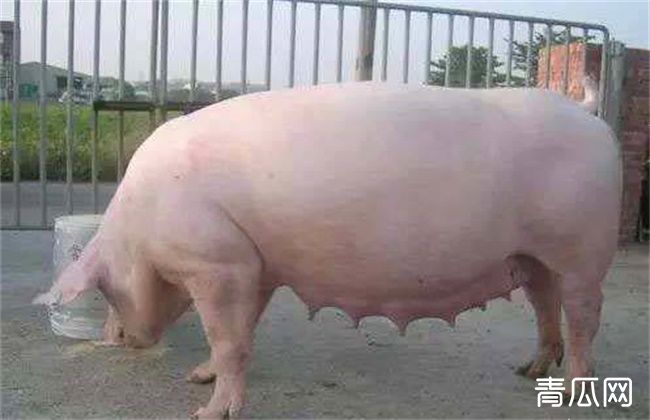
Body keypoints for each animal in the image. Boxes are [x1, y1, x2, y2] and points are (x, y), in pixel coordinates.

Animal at [35, 81, 621, 418]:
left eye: (106, 289)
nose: (119, 340)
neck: (141, 220)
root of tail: (588, 115)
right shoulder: (255, 265)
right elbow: (241, 333)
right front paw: (197, 376)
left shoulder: (220, 263)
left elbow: (228, 339)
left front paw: (207, 413)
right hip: (534, 255)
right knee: (546, 301)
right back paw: (529, 371)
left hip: (585, 248)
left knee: (585, 313)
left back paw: (574, 393)